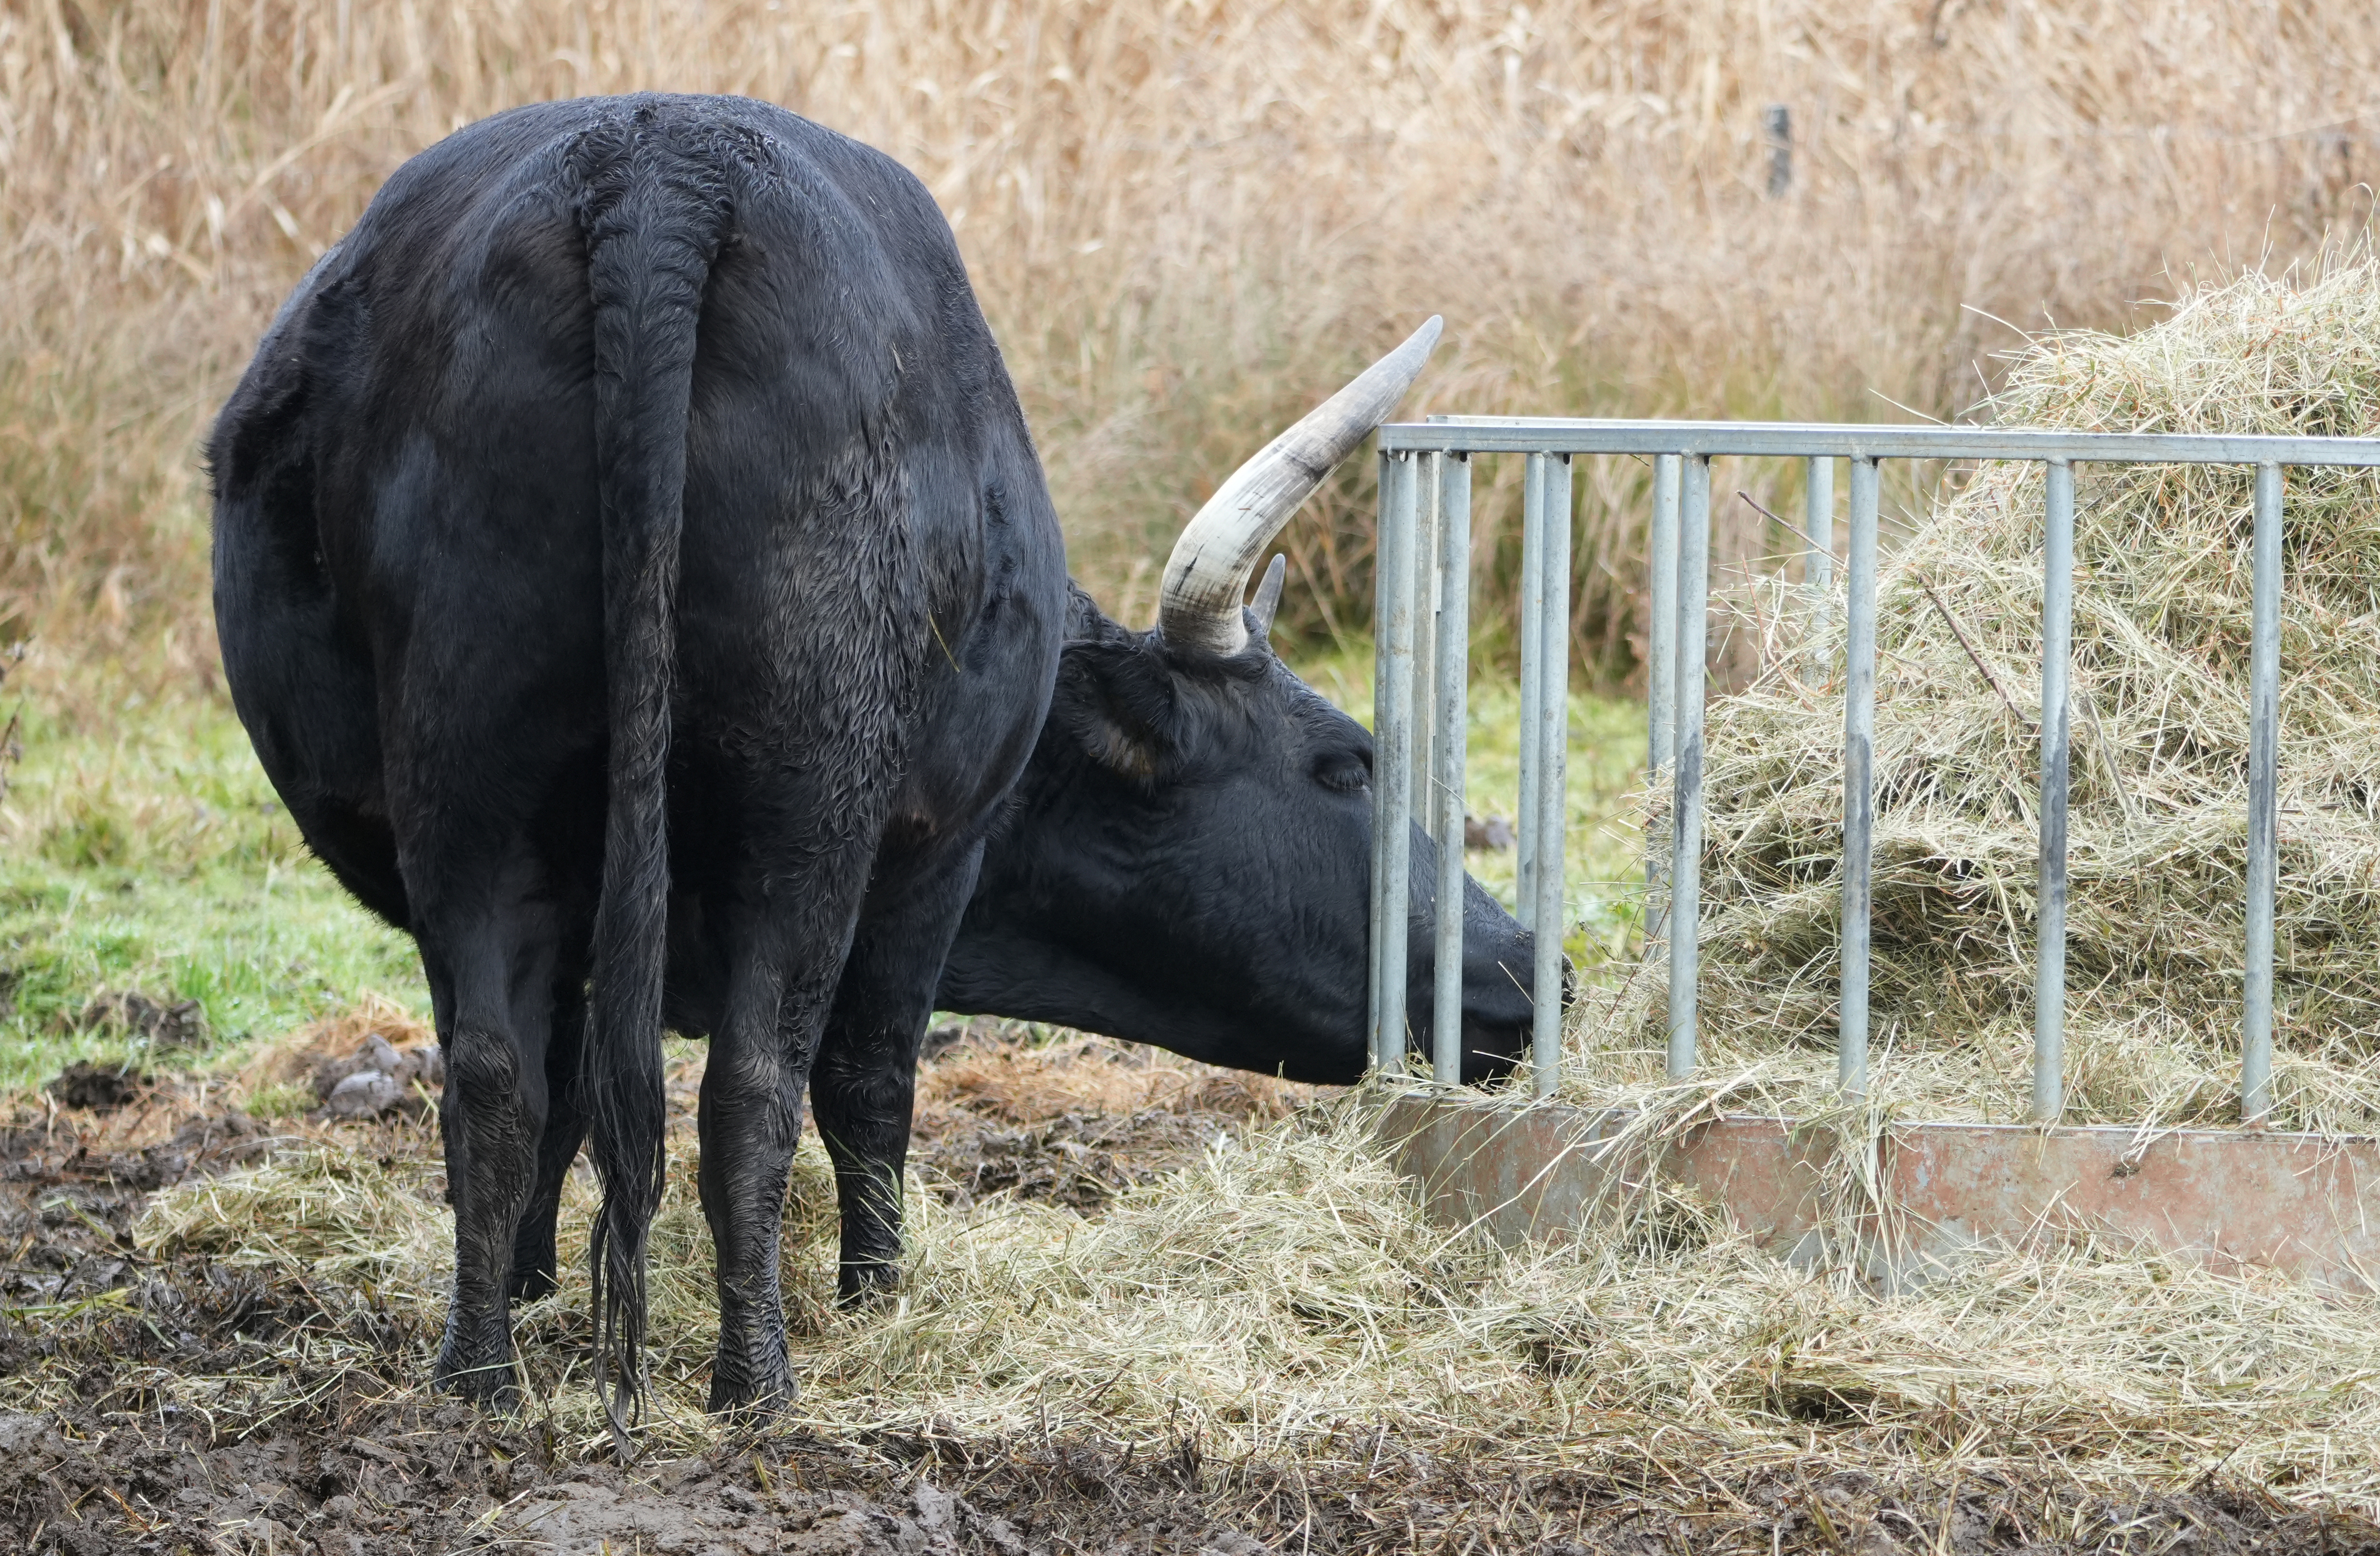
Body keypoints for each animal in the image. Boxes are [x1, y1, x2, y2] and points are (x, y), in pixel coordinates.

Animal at [208, 93, 1542, 1439]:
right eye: (1347, 763)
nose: (1537, 970)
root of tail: (660, 155)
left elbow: (564, 1088)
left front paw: (535, 1289)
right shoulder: (934, 867)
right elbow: (871, 1081)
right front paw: (879, 1297)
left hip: (469, 789)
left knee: (494, 1077)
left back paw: (479, 1379)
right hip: (805, 809)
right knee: (753, 1084)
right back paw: (758, 1383)